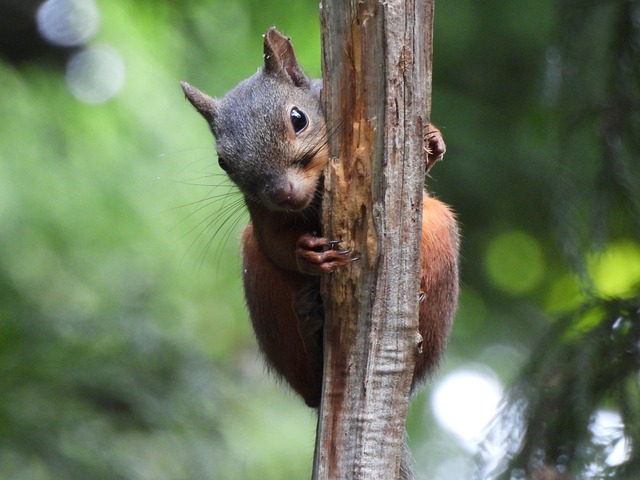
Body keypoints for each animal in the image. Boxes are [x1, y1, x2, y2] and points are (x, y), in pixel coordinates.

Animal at [181, 27, 460, 412]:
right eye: (224, 162)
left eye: (298, 118)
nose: (284, 194)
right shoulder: (262, 213)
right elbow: (275, 242)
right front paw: (308, 254)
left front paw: (431, 139)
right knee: (309, 384)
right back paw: (309, 324)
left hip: (436, 231)